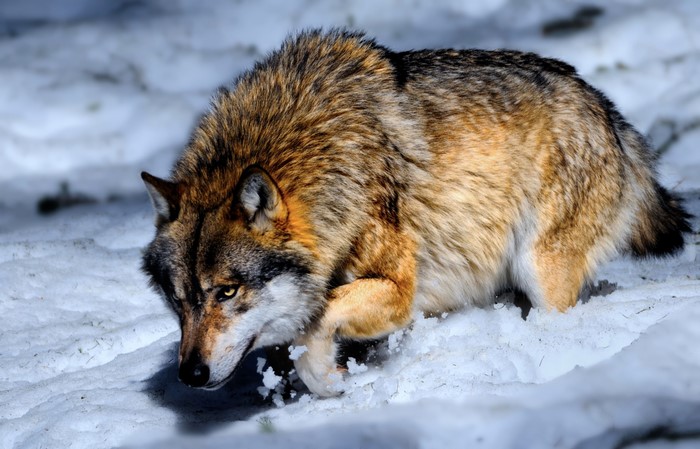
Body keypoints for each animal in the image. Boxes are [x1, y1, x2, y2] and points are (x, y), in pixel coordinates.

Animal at [141, 30, 691, 397]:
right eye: (178, 299)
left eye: (226, 292)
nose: (189, 375)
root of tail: (610, 113)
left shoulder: (398, 289)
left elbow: (319, 321)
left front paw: (329, 380)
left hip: (540, 270)